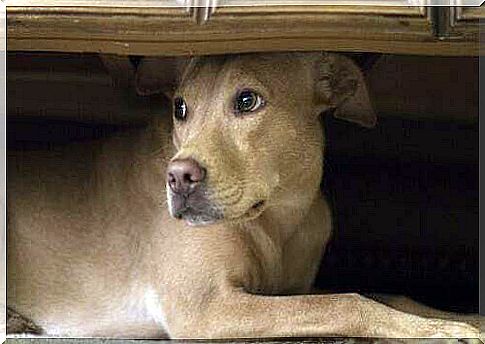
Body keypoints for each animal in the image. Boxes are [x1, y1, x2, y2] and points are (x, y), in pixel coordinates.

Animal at [7, 52, 480, 340]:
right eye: (180, 108)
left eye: (248, 101)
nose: (178, 178)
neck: (280, 217)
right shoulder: (209, 308)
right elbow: (346, 302)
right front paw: (436, 331)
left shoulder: (288, 290)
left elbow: (385, 294)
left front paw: (460, 317)